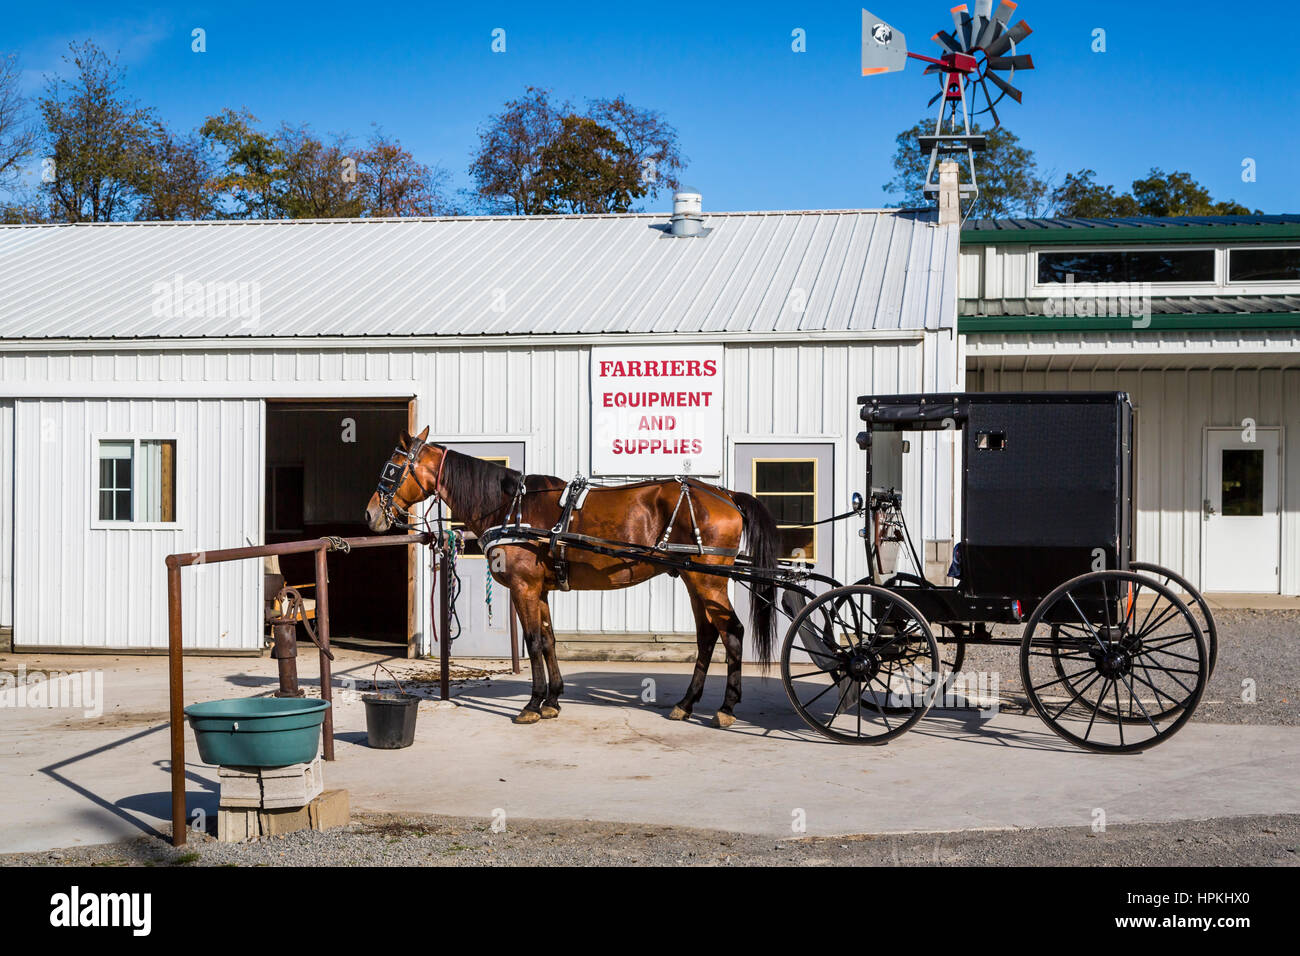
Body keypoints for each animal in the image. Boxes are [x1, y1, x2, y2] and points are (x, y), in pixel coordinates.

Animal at [364, 427, 782, 728]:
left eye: (391, 469)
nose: (370, 515)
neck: (512, 507)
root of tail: (724, 494)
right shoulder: (541, 590)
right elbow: (549, 640)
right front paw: (553, 699)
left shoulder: (524, 587)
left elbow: (533, 641)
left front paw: (533, 704)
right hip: (696, 580)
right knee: (708, 635)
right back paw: (686, 703)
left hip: (708, 581)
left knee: (732, 632)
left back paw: (726, 708)